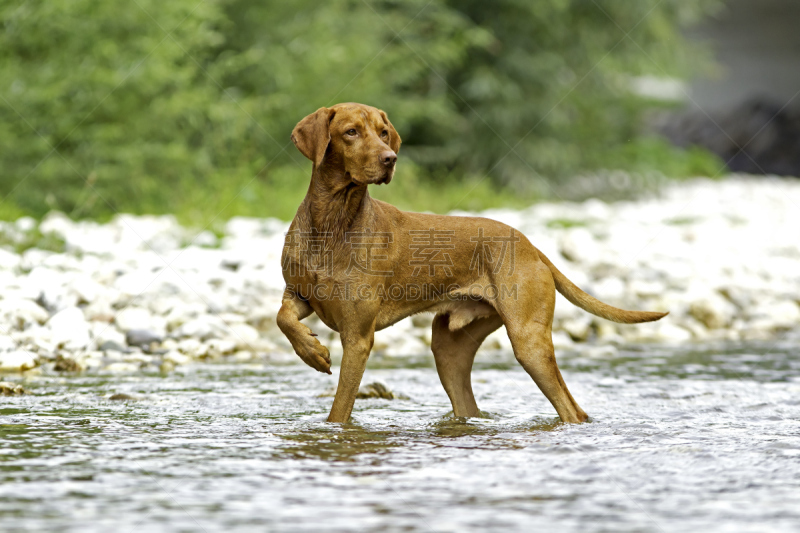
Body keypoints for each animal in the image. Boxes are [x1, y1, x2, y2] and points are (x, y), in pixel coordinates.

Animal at [278, 102, 664, 422]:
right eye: (351, 132)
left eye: (383, 132)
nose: (390, 159)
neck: (331, 223)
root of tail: (531, 246)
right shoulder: (300, 294)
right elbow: (283, 318)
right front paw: (310, 351)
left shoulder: (358, 337)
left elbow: (339, 410)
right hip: (449, 350)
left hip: (528, 342)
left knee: (572, 410)